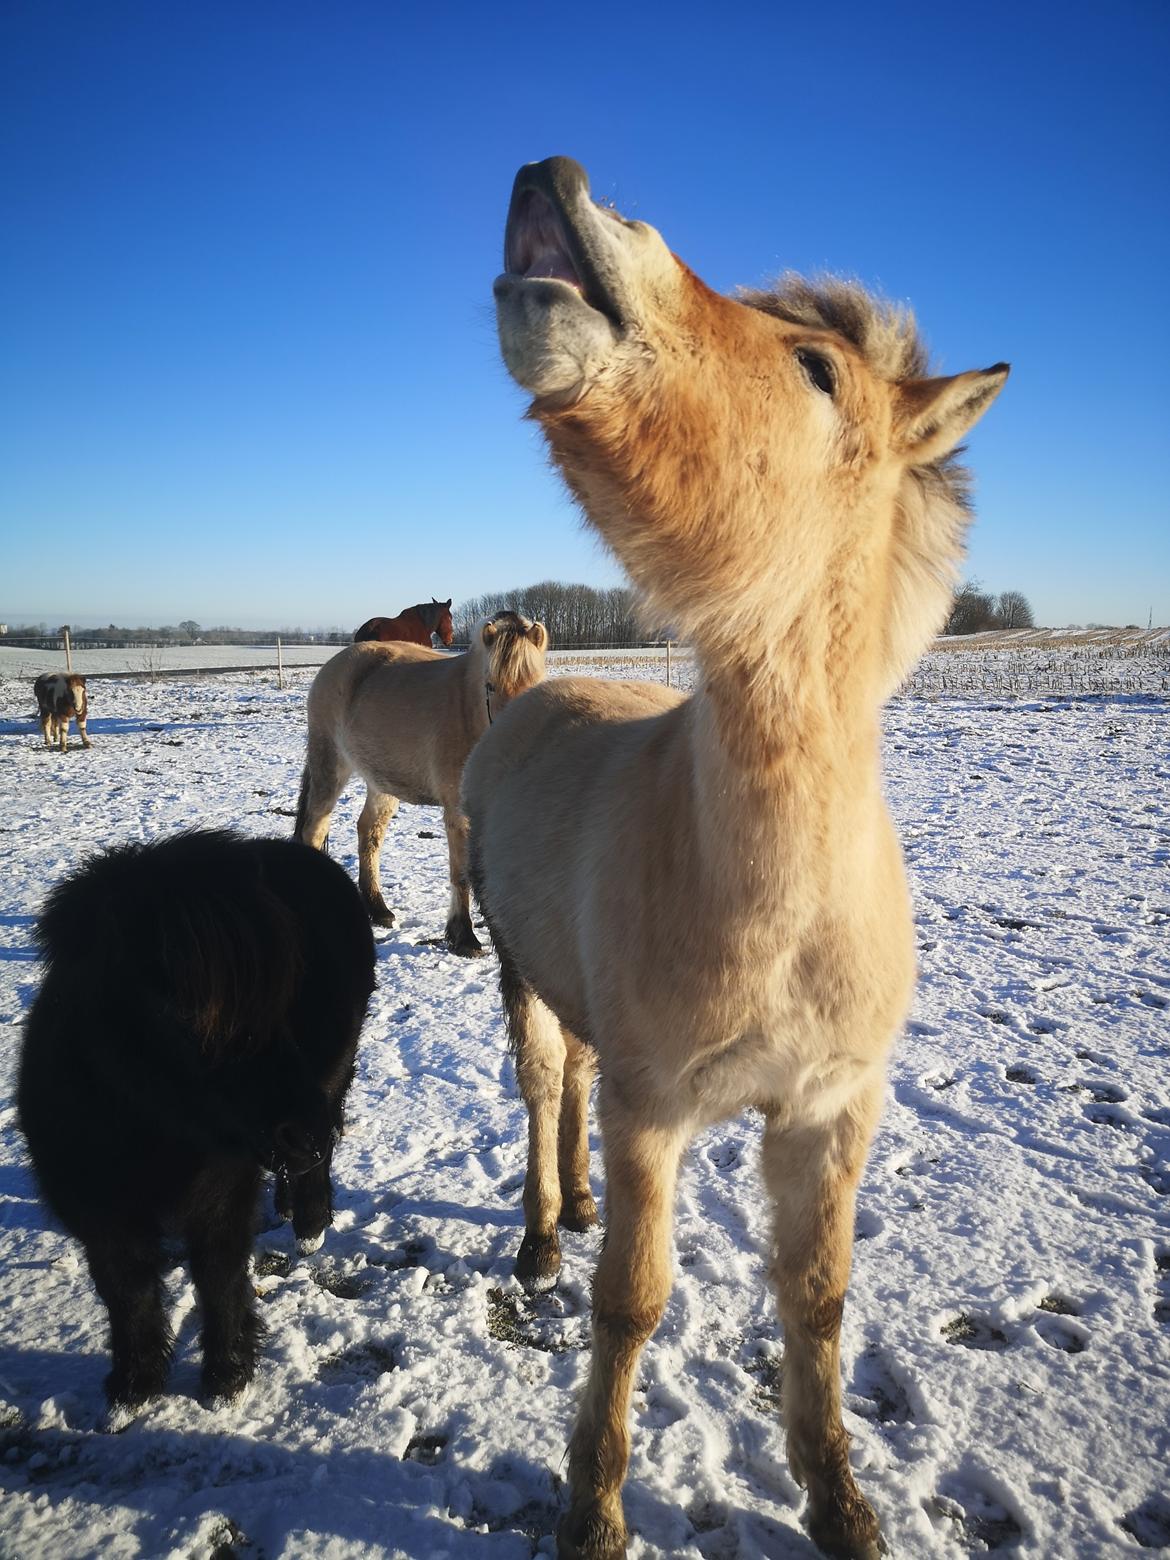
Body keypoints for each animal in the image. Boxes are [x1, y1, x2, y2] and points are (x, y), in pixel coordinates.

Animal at [18, 829, 375, 1416]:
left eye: (279, 1002)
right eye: (180, 1011)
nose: (305, 1135)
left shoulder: (222, 1194)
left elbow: (219, 1275)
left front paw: (226, 1378)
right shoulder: (99, 1212)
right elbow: (128, 1290)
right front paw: (134, 1387)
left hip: (333, 1079)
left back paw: (308, 1227)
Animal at [293, 614, 549, 954]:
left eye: (536, 685)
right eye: (490, 686)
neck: (470, 711)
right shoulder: (457, 812)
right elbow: (460, 874)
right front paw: (464, 936)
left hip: (381, 784)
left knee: (369, 833)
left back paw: (379, 910)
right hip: (329, 767)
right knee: (314, 830)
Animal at [461, 158, 1010, 1560]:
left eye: (816, 368)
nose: (553, 183)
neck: (782, 903)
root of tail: (531, 695)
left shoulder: (828, 1110)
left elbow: (816, 1302)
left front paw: (842, 1505)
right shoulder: (658, 1112)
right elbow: (631, 1304)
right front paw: (594, 1509)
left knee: (573, 1083)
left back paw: (573, 1205)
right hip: (520, 982)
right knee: (544, 1089)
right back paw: (543, 1233)